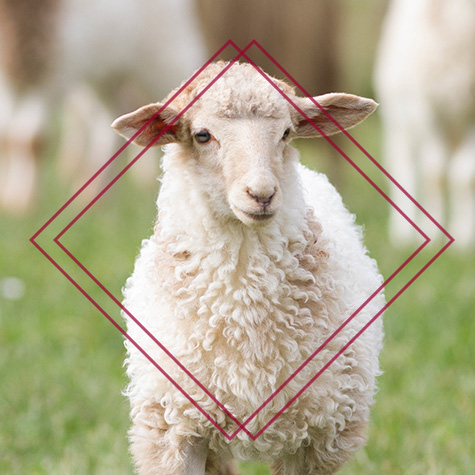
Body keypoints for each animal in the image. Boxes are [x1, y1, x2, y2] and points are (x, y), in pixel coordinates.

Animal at [0, 0, 206, 214]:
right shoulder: (6, 80)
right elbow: (6, 138)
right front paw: (9, 200)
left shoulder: (50, 78)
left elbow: (30, 141)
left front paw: (24, 203)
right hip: (108, 76)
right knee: (110, 120)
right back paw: (95, 196)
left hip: (166, 57)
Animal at [376, 0, 475, 251]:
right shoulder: (429, 113)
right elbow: (435, 174)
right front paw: (434, 234)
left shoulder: (472, 118)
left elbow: (464, 177)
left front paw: (464, 237)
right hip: (401, 123)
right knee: (404, 170)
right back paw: (404, 232)